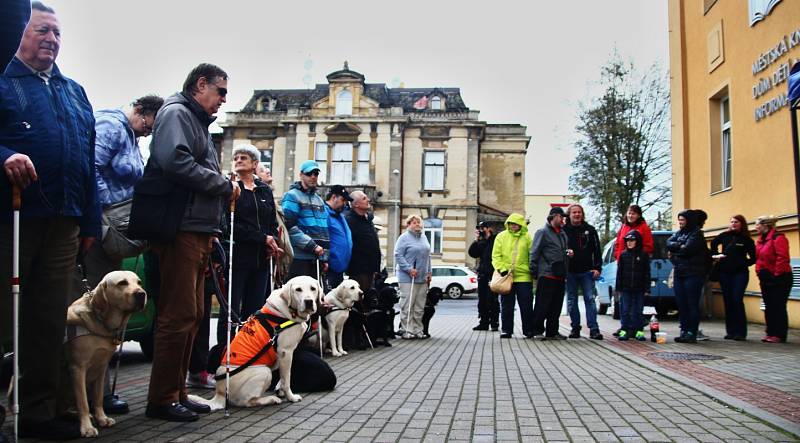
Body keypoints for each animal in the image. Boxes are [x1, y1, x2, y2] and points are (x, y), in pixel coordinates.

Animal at [189, 276, 320, 412]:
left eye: (313, 288)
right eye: (298, 289)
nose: (309, 301)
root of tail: (220, 394)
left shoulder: (285, 354)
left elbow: (283, 376)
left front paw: (280, 389)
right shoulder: (286, 352)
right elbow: (287, 378)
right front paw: (291, 397)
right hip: (264, 372)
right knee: (248, 402)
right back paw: (271, 399)